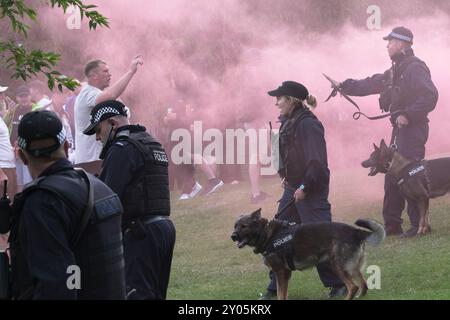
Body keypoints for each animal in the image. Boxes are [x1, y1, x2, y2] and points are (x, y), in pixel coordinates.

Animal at [232, 210, 384, 300]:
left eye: (244, 226)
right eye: (235, 226)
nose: (232, 236)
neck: (267, 233)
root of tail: (356, 231)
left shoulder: (280, 272)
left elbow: (281, 294)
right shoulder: (284, 273)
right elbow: (283, 293)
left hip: (338, 266)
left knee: (353, 287)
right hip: (352, 268)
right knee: (363, 284)